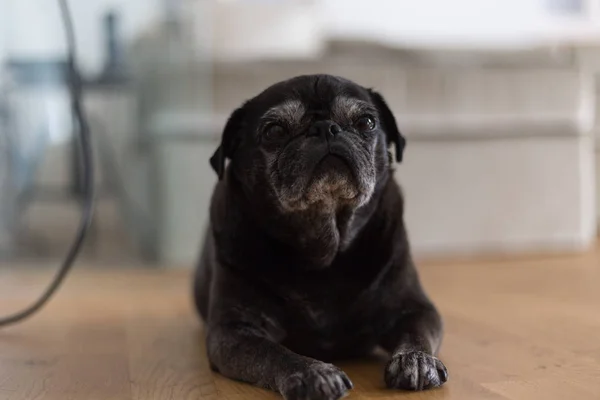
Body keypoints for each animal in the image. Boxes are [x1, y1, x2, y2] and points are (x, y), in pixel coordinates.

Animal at [195, 73, 448, 398]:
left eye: (366, 122)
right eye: (274, 131)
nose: (325, 128)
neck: (325, 244)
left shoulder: (415, 309)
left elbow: (416, 335)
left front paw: (416, 360)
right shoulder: (234, 330)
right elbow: (274, 353)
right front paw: (313, 372)